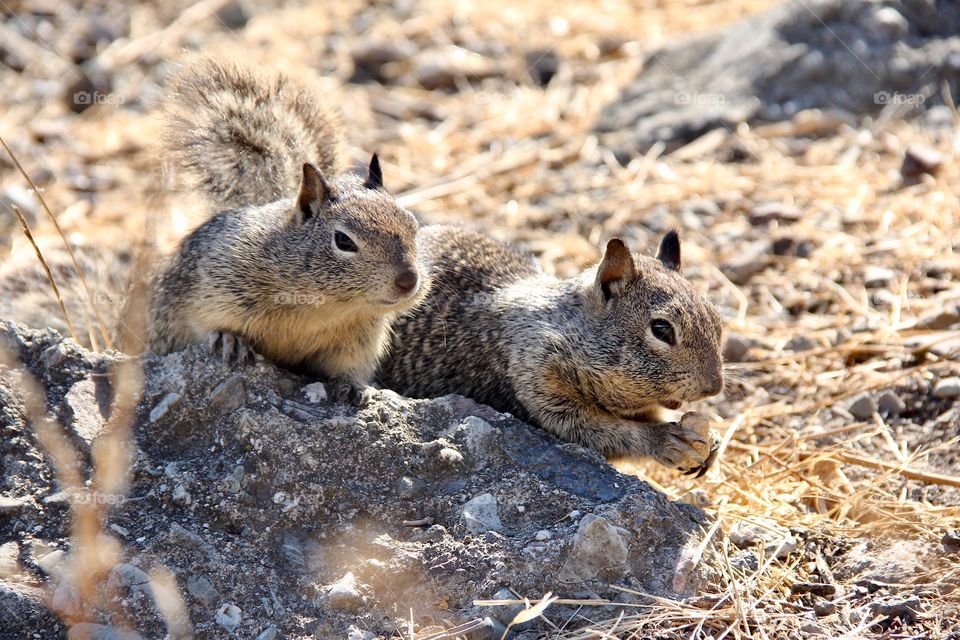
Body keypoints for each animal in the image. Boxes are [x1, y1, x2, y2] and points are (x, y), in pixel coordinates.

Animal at [146, 57, 427, 402]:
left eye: (413, 225)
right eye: (344, 241)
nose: (408, 281)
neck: (327, 305)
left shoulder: (360, 338)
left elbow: (349, 366)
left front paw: (352, 386)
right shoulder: (216, 281)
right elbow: (206, 321)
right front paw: (229, 339)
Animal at [377, 226, 725, 475]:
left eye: (717, 321)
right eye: (662, 330)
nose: (714, 388)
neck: (565, 328)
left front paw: (712, 442)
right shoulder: (536, 374)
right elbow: (593, 430)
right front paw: (665, 441)